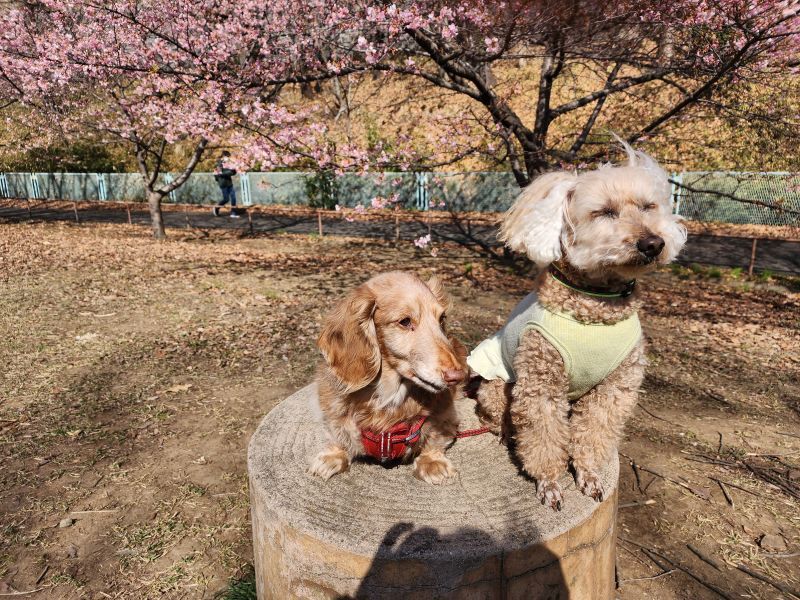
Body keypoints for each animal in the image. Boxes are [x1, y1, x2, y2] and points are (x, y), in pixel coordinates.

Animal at [468, 144, 688, 510]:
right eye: (604, 213)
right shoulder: (541, 384)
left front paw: (588, 474)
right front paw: (549, 483)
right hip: (496, 385)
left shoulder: (616, 388)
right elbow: (543, 435)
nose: (653, 243)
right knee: (496, 415)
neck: (596, 305)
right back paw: (505, 433)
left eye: (648, 207)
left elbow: (594, 433)